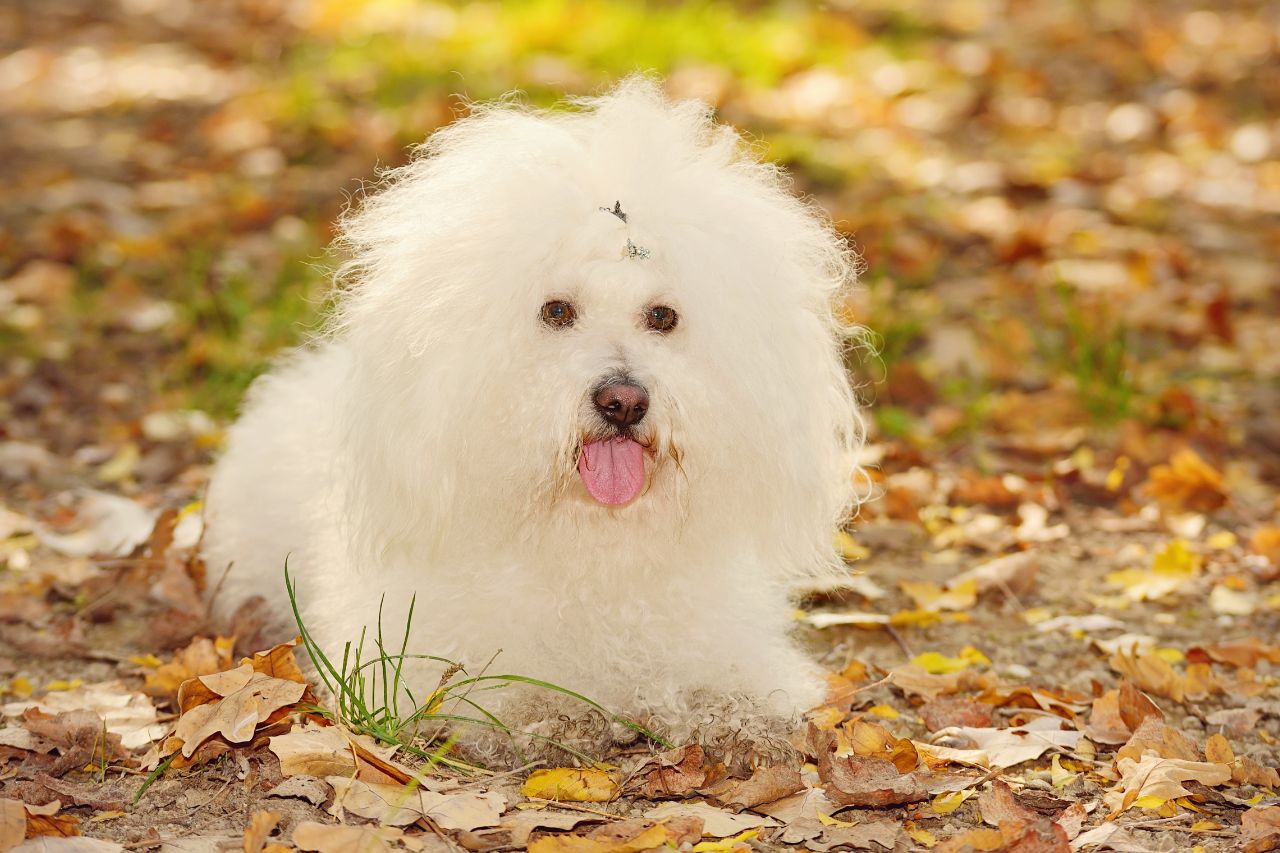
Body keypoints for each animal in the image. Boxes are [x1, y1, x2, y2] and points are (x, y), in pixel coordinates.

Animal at [204, 78, 865, 758]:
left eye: (662, 317)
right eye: (556, 310)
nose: (624, 401)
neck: (588, 543)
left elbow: (733, 687)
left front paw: (733, 719)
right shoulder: (414, 663)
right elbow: (504, 696)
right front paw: (558, 717)